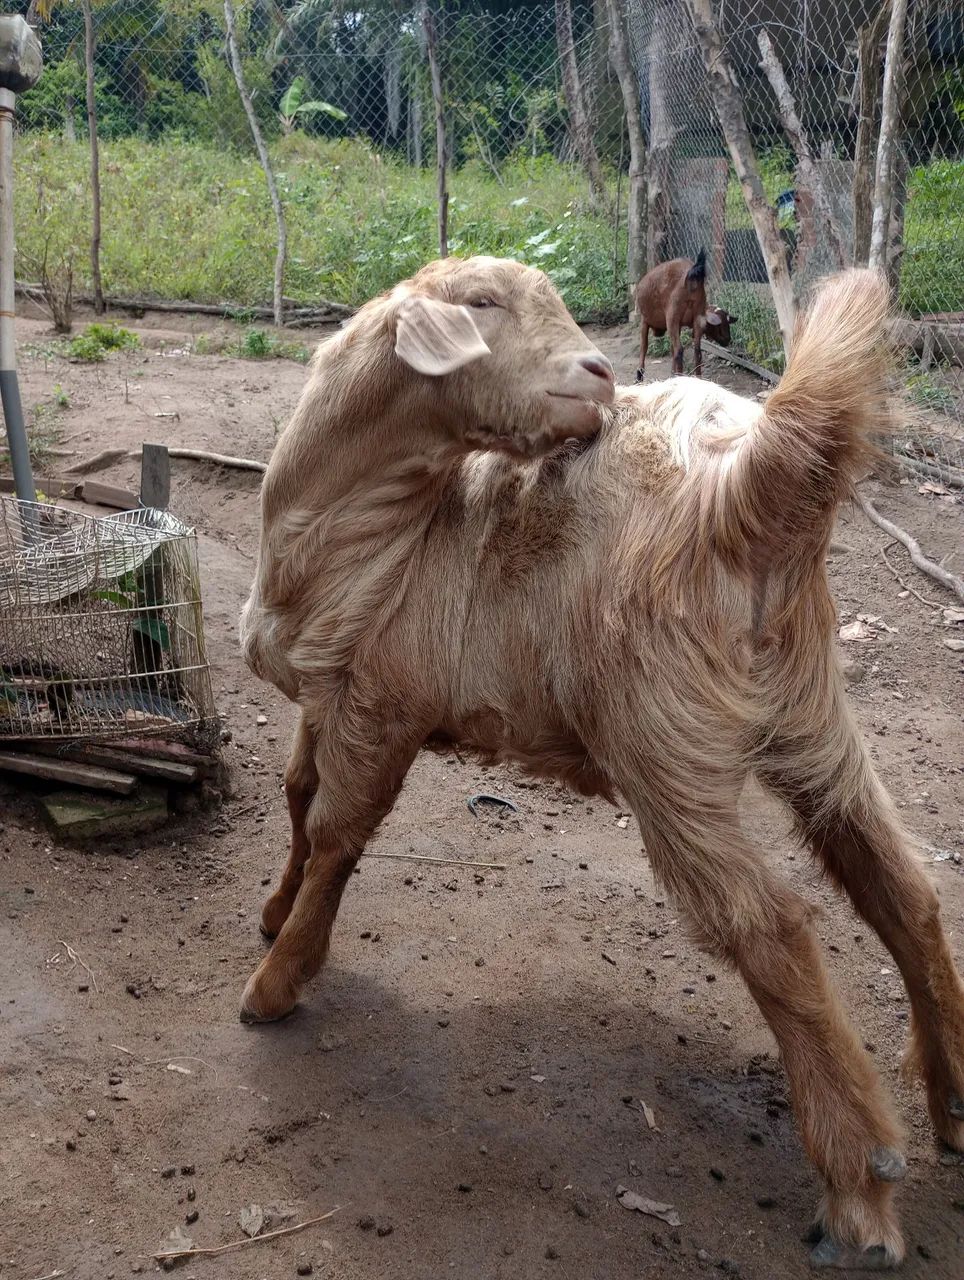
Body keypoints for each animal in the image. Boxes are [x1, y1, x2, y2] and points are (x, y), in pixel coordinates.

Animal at [634, 249, 736, 380]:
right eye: (720, 325)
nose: (728, 340)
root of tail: (692, 276)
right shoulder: (680, 324)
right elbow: (664, 348)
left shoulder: (645, 320)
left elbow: (644, 346)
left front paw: (639, 375)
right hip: (696, 317)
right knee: (697, 351)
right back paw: (697, 378)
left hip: (672, 316)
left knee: (679, 350)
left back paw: (680, 376)